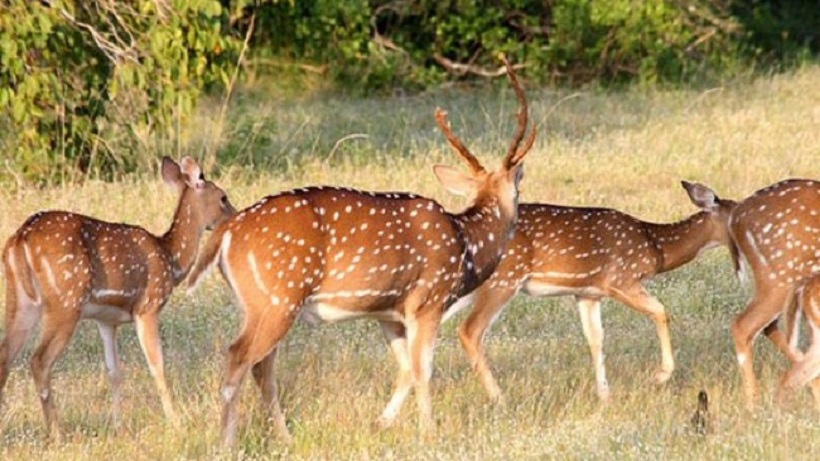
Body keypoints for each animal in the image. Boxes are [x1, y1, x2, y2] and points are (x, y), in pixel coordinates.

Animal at [0, 156, 237, 436]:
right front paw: (176, 421)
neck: (170, 259)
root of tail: (20, 239)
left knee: (5, 355)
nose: (236, 216)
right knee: (39, 360)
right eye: (223, 197)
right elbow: (157, 366)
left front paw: (116, 424)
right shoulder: (147, 306)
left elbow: (114, 371)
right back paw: (56, 432)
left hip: (21, 300)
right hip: (66, 300)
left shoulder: (106, 319)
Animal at [187, 56, 540, 446]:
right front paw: (429, 431)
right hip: (279, 296)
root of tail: (227, 231)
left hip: (257, 303)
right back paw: (227, 442)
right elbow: (424, 370)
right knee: (238, 357)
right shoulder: (428, 301)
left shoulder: (388, 313)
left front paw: (381, 422)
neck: (467, 246)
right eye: (518, 191)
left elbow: (405, 370)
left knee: (262, 366)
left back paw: (285, 437)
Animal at [454, 181, 736, 400]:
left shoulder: (588, 293)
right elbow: (661, 311)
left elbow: (596, 338)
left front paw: (604, 394)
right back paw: (498, 397)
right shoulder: (621, 279)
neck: (656, 248)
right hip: (503, 280)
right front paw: (660, 376)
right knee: (469, 330)